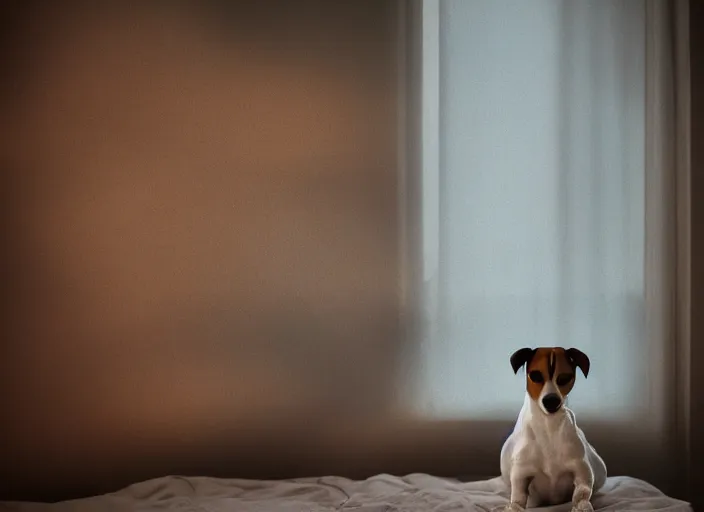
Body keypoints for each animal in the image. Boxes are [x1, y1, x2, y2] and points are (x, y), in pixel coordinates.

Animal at [500, 348, 604, 512]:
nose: (551, 401)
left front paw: (582, 506)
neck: (549, 427)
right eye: (535, 376)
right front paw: (513, 507)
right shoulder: (521, 473)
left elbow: (582, 491)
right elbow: (518, 497)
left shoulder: (582, 470)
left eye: (565, 378)